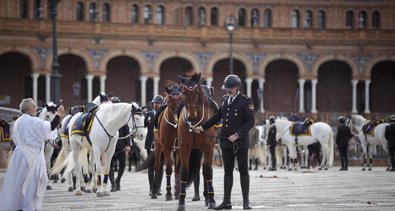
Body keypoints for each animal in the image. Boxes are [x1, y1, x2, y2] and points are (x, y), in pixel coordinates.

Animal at [178, 72, 218, 211]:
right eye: (183, 92)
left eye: (196, 92)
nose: (191, 117)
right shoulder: (184, 148)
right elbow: (184, 173)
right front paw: (181, 202)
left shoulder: (208, 147)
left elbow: (208, 172)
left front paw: (212, 200)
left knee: (206, 170)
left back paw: (208, 198)